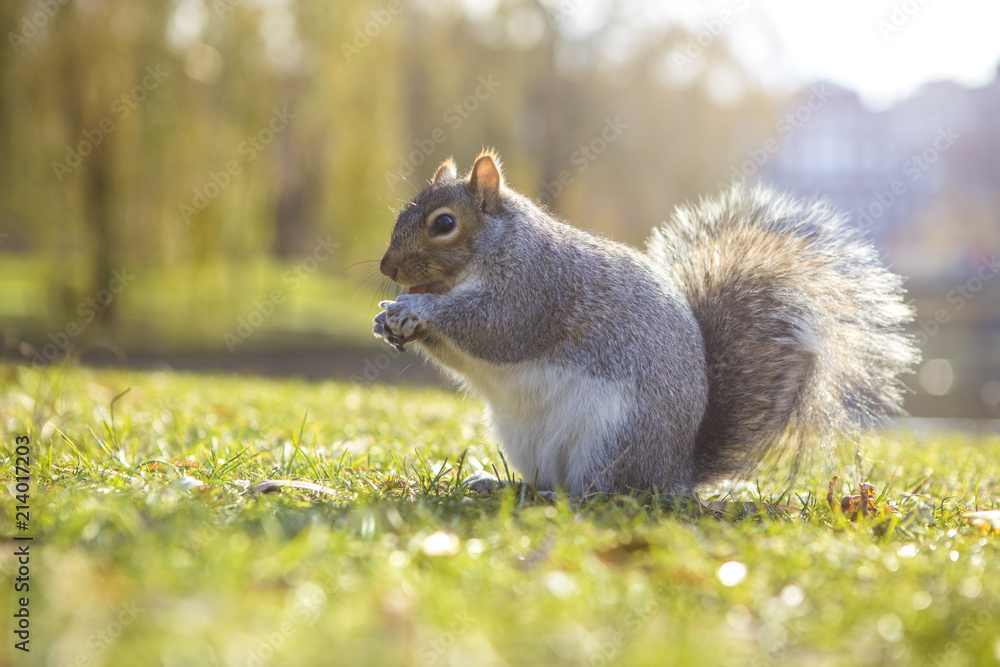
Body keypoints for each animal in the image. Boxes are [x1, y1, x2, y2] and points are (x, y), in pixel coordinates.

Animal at [373, 150, 920, 497]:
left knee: (604, 492)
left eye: (444, 223)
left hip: (613, 437)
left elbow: (492, 327)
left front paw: (414, 309)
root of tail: (676, 473)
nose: (387, 268)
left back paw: (556, 498)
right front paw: (388, 317)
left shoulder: (535, 287)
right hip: (524, 438)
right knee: (550, 479)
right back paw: (502, 484)